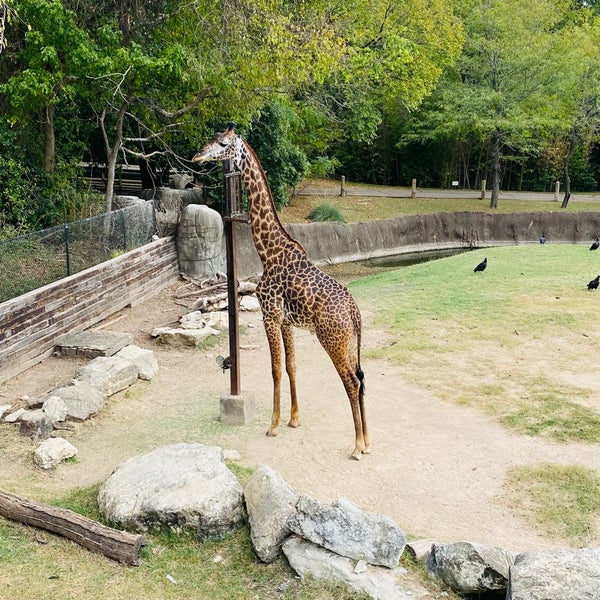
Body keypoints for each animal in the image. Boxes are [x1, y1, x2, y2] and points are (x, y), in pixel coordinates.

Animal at [192, 123, 370, 460]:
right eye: (210, 139)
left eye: (222, 144)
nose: (197, 156)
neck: (268, 251)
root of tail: (355, 312)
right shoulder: (287, 321)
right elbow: (291, 366)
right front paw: (294, 419)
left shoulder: (269, 315)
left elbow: (274, 369)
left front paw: (273, 426)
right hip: (351, 343)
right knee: (362, 379)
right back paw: (367, 440)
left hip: (332, 340)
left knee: (352, 382)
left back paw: (356, 446)